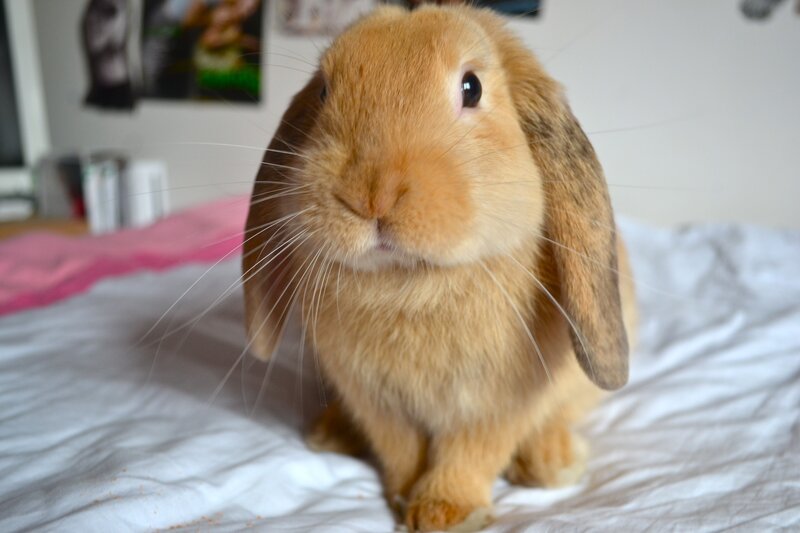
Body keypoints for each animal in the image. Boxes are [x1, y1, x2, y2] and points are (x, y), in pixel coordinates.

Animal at [242, 5, 637, 531]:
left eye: (472, 87)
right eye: (323, 91)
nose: (371, 194)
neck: (409, 282)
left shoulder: (498, 402)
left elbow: (471, 452)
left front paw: (445, 512)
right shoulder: (374, 398)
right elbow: (401, 450)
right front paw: (405, 499)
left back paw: (551, 463)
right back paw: (330, 433)